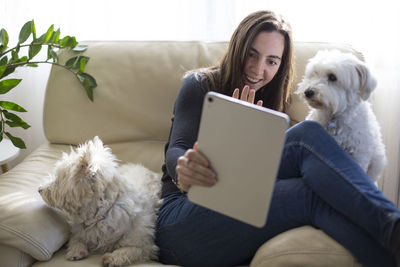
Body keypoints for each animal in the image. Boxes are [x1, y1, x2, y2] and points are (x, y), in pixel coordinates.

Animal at [38, 137, 161, 266]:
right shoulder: (79, 231)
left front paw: (111, 258)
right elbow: (76, 239)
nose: (39, 189)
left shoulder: (145, 245)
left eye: (57, 180)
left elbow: (129, 250)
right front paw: (76, 251)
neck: (97, 214)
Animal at [298, 50, 386, 182]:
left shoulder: (359, 156)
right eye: (314, 73)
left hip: (377, 161)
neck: (334, 116)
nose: (308, 92)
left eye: (332, 77)